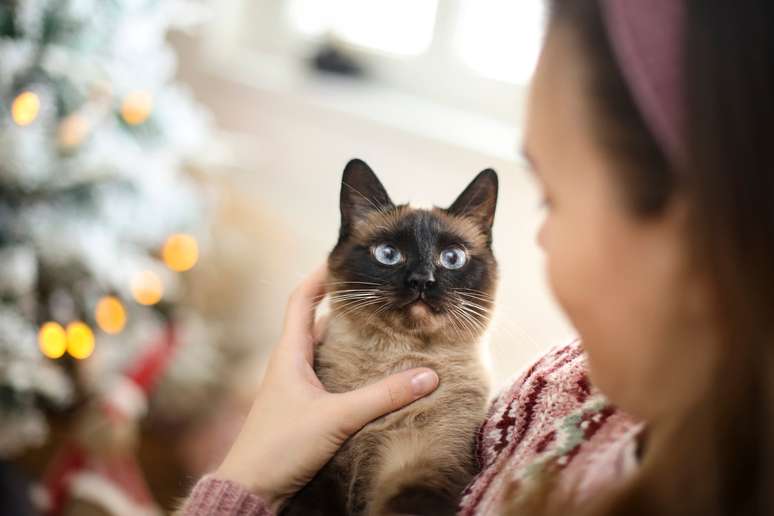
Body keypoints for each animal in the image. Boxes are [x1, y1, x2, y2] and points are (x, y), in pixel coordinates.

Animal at [282, 159, 500, 512]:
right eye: (388, 254)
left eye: (452, 258)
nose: (422, 280)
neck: (396, 359)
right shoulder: (323, 473)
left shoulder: (426, 465)